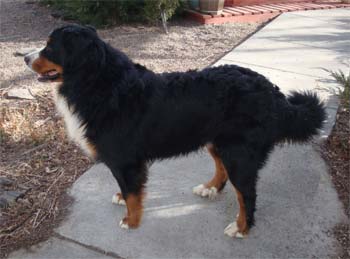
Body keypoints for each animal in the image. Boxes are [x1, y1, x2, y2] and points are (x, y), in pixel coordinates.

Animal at [24, 24, 326, 240]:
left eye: (50, 47)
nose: (25, 57)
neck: (96, 82)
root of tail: (270, 90)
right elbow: (127, 189)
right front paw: (122, 199)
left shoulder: (125, 160)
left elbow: (133, 193)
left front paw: (131, 221)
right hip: (217, 141)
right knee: (222, 170)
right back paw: (210, 188)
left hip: (239, 153)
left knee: (246, 194)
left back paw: (241, 227)